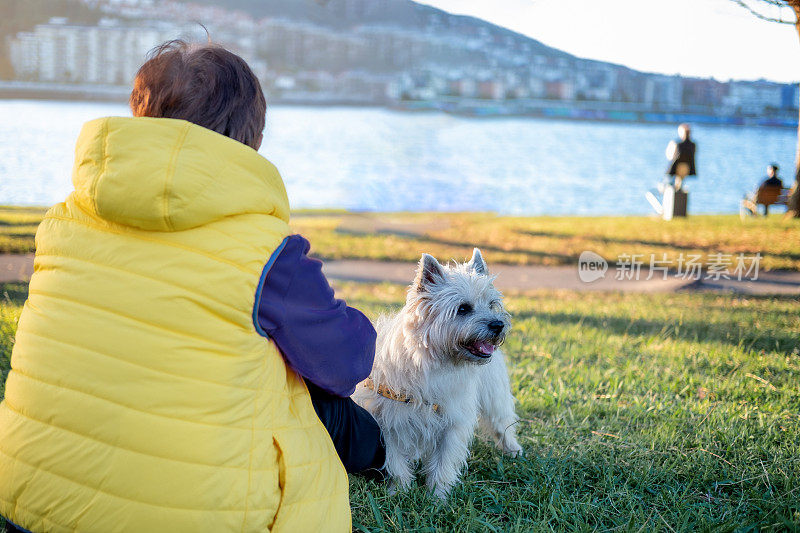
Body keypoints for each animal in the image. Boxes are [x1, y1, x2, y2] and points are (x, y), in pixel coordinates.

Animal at [354, 247, 520, 496]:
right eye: (463, 309)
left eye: (491, 304)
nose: (498, 324)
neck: (434, 364)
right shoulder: (388, 423)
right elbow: (396, 461)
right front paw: (400, 491)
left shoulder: (452, 421)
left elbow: (444, 461)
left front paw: (437, 496)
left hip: (494, 396)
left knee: (502, 423)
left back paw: (514, 450)